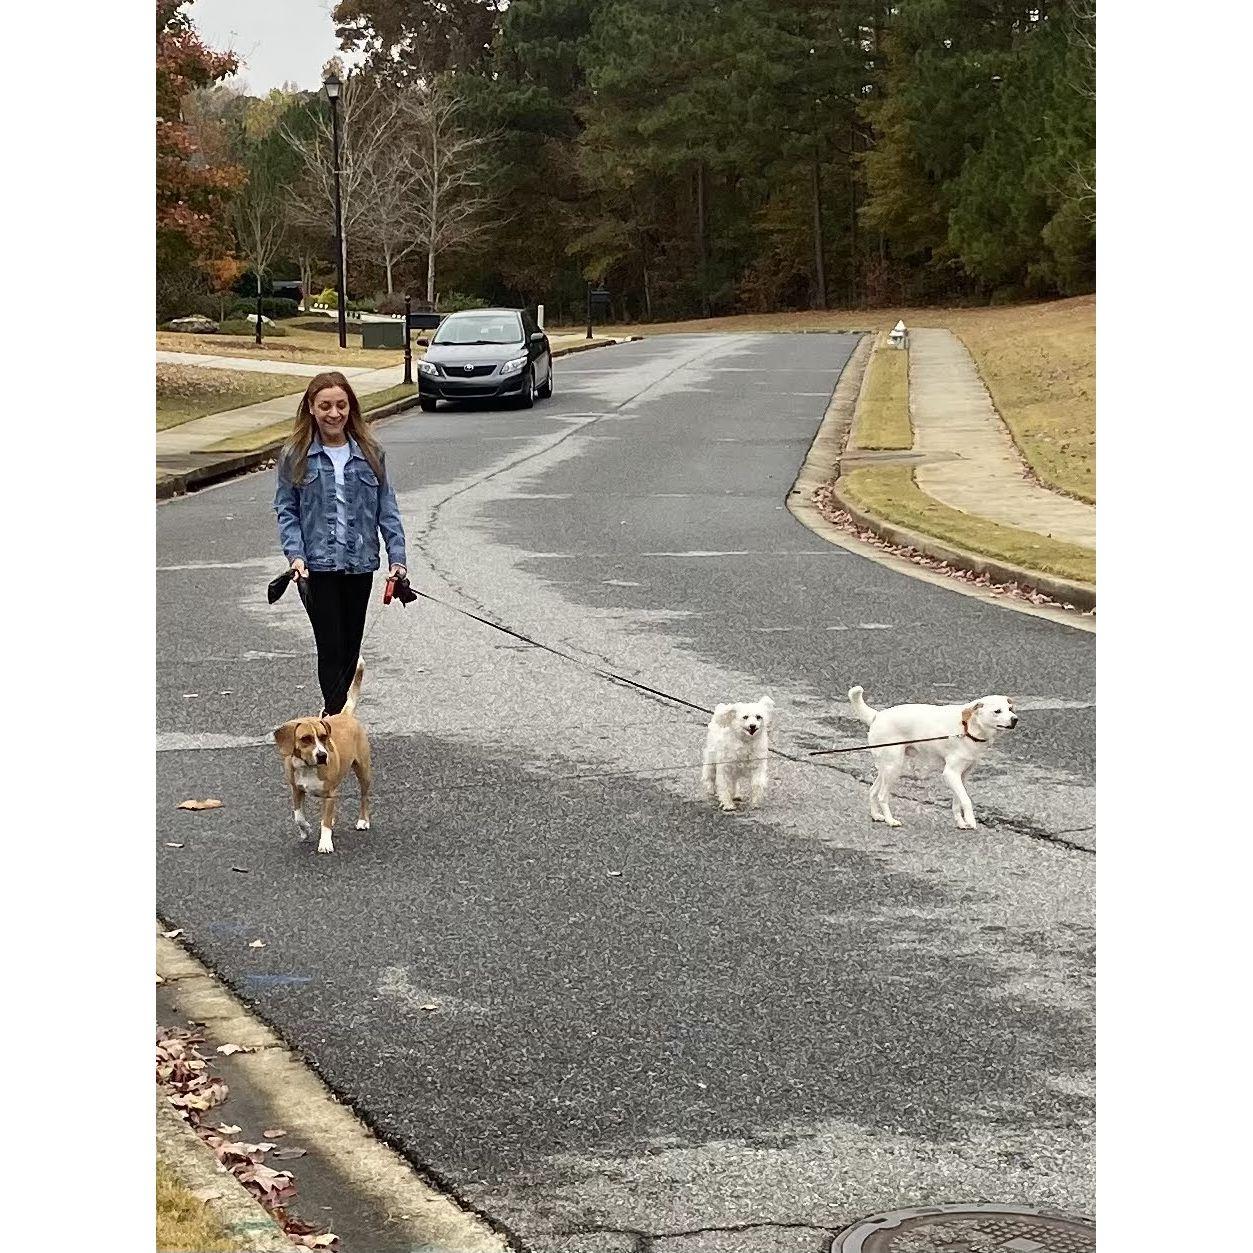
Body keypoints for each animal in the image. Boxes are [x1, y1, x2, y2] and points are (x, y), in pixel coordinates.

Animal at [274, 666, 370, 852]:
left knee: (364, 796)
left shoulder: (329, 794)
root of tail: (346, 715)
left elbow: (324, 822)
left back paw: (363, 820)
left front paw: (325, 843)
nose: (322, 755)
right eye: (305, 739)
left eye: (323, 736)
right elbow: (298, 816)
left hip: (363, 771)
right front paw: (305, 830)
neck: (307, 767)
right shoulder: (296, 790)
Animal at [852, 686, 1017, 831]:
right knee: (881, 796)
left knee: (873, 791)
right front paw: (971, 820)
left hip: (886, 768)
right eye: (997, 711)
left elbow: (957, 802)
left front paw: (961, 823)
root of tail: (877, 715)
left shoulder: (962, 776)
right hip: (893, 768)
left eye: (1010, 709)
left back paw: (876, 815)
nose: (1015, 719)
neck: (968, 729)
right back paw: (890, 820)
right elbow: (966, 800)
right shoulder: (950, 773)